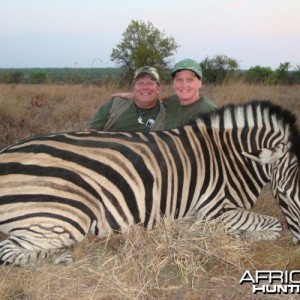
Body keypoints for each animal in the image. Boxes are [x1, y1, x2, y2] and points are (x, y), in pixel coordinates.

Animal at [0, 101, 298, 268]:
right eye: (285, 195)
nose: (297, 247)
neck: (228, 158)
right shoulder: (214, 211)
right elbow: (274, 226)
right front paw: (239, 236)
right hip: (67, 216)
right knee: (7, 249)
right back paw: (59, 257)